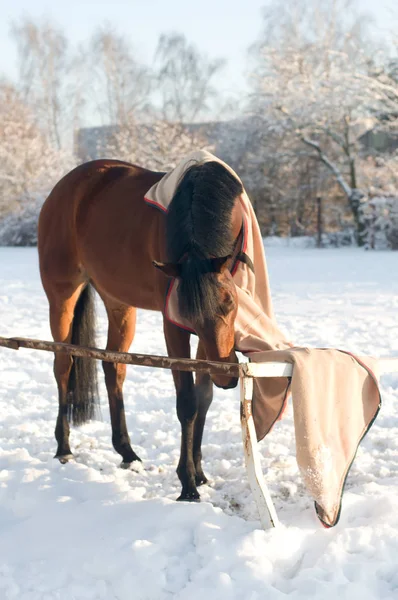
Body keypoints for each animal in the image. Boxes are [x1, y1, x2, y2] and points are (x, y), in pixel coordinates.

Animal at [38, 156, 246, 502]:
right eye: (184, 314)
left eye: (230, 301)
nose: (227, 377)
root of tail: (63, 188)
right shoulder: (174, 327)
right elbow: (187, 402)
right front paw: (188, 484)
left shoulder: (209, 341)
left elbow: (203, 397)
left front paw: (200, 473)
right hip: (62, 296)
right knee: (63, 365)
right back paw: (63, 447)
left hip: (119, 305)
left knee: (113, 367)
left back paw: (127, 451)